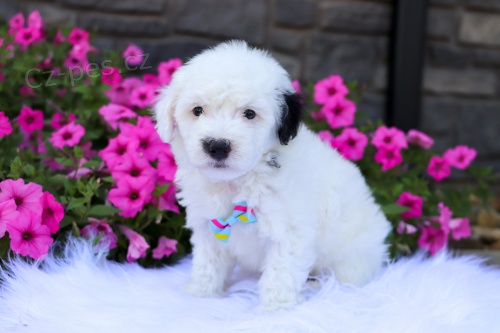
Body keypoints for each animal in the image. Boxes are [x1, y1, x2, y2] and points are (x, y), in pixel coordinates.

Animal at [154, 41, 392, 312]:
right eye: (197, 110)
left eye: (249, 114)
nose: (218, 146)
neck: (239, 181)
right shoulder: (209, 226)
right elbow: (208, 261)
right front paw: (202, 293)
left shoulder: (289, 230)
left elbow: (281, 271)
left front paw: (276, 308)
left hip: (351, 258)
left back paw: (316, 285)